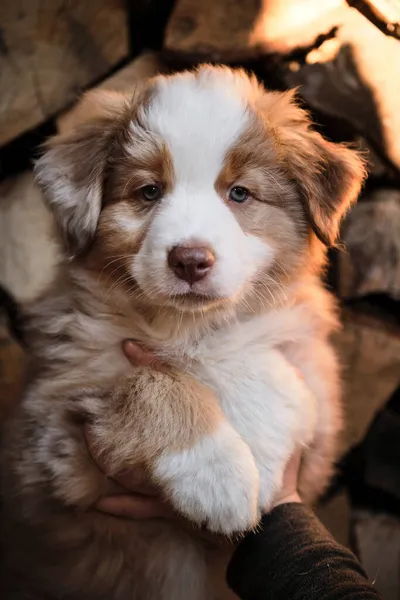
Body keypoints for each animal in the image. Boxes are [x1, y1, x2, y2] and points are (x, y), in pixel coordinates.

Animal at [0, 67, 366, 600]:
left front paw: (261, 463)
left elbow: (254, 363)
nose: (191, 260)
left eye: (240, 194)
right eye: (149, 192)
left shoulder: (317, 397)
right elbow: (149, 381)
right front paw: (220, 479)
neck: (185, 325)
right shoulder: (52, 441)